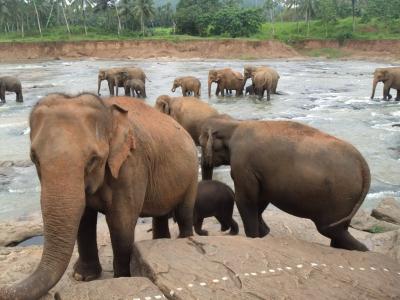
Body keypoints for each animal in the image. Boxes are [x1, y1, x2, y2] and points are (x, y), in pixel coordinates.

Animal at [0, 94, 198, 300]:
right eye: (34, 158)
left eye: (93, 159)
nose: (4, 287)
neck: (108, 111)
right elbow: (84, 218)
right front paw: (83, 277)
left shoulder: (132, 165)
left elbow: (121, 223)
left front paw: (121, 278)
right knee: (160, 215)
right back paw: (161, 242)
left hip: (192, 172)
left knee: (184, 213)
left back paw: (184, 240)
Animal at [202, 115, 370, 251]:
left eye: (201, 144)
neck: (234, 124)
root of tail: (363, 166)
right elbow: (260, 200)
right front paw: (264, 233)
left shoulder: (243, 164)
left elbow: (246, 200)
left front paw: (254, 237)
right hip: (347, 201)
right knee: (338, 231)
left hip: (340, 197)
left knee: (330, 230)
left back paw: (363, 249)